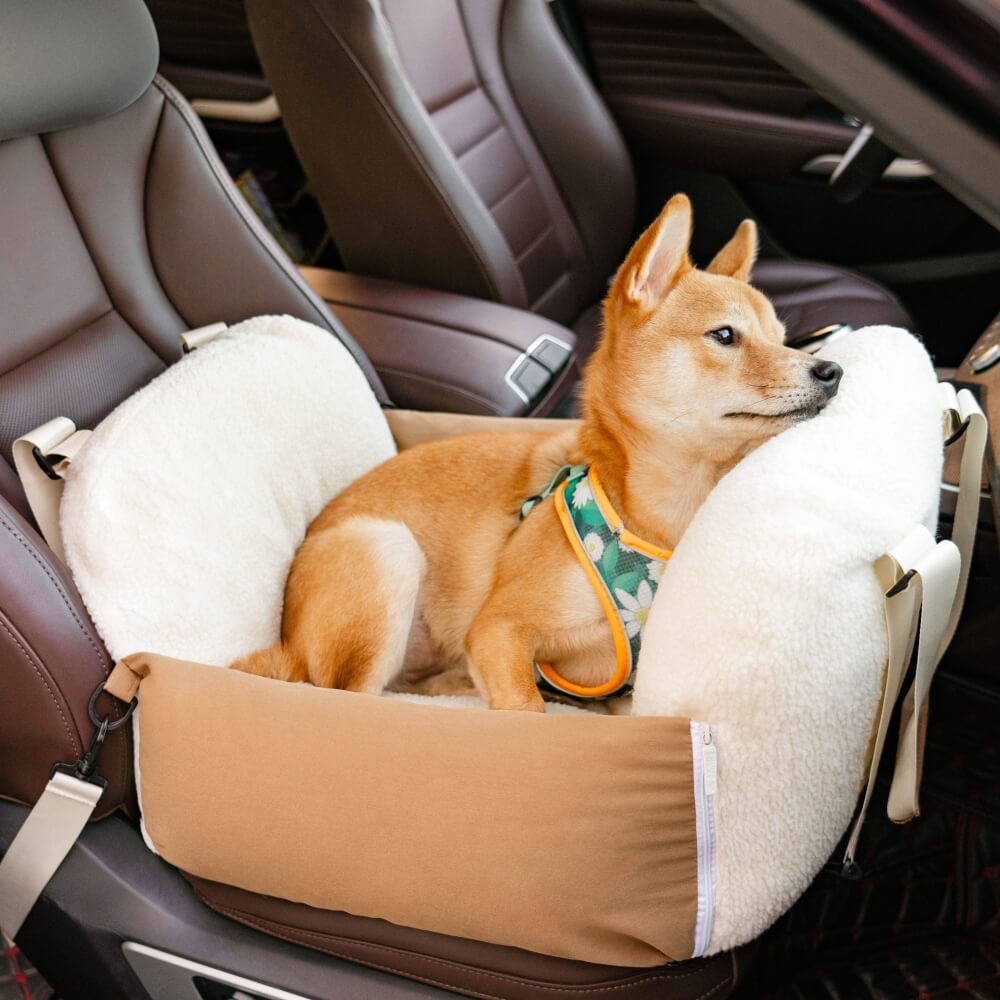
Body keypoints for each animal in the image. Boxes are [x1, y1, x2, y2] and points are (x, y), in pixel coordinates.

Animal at [230, 195, 840, 708]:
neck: (653, 520)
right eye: (725, 336)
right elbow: (527, 707)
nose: (831, 370)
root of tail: (288, 646)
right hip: (388, 552)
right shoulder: (498, 632)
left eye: (785, 338)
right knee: (352, 700)